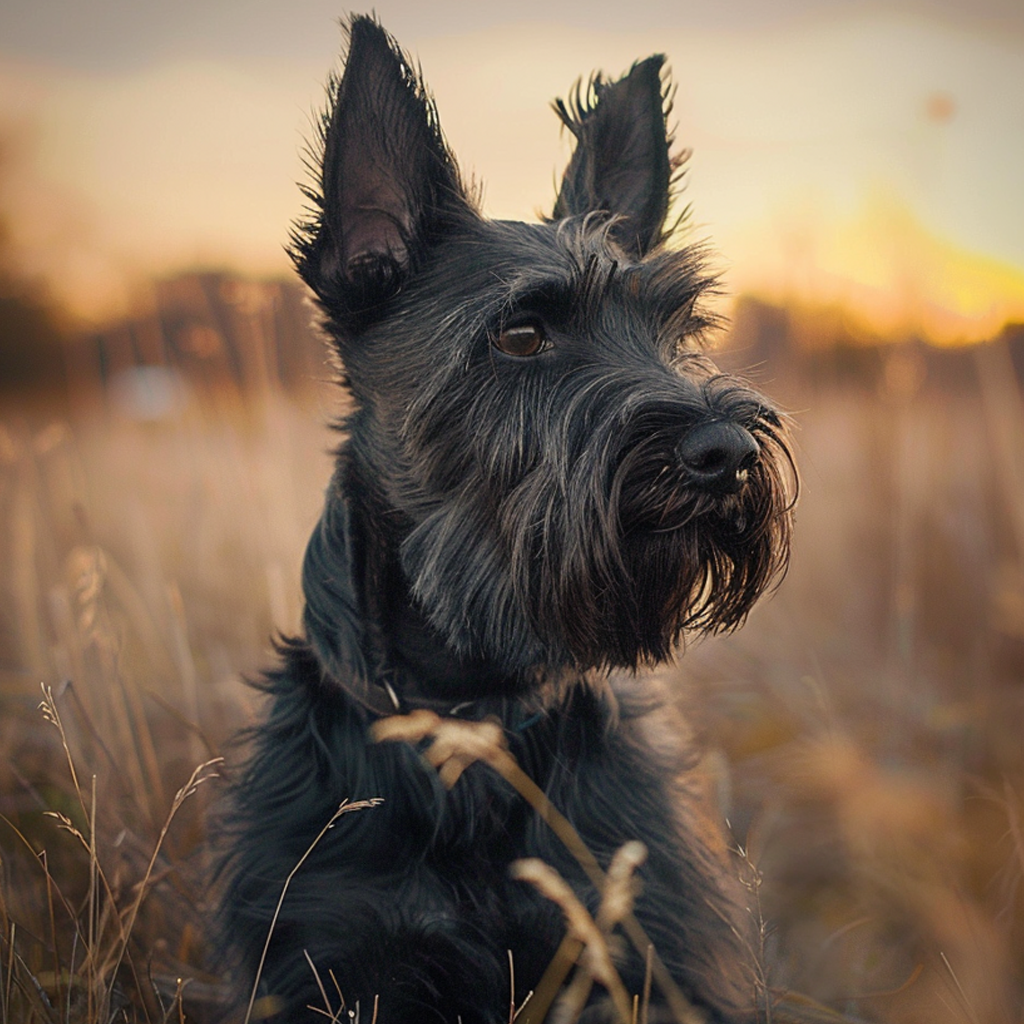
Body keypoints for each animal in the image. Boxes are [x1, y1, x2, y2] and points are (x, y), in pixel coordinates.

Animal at [222, 16, 790, 1024]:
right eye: (521, 334)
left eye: (676, 330)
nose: (728, 451)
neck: (475, 712)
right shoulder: (335, 953)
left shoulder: (645, 947)